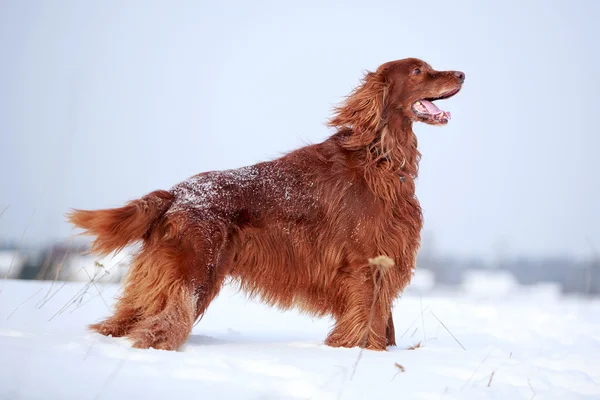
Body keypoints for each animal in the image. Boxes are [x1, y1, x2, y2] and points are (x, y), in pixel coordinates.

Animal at [68, 57, 466, 350]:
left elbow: (384, 322)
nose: (462, 73)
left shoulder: (386, 257)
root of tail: (175, 193)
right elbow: (368, 320)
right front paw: (359, 353)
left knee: (126, 318)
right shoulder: (365, 264)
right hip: (194, 269)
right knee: (160, 323)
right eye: (417, 71)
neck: (381, 158)